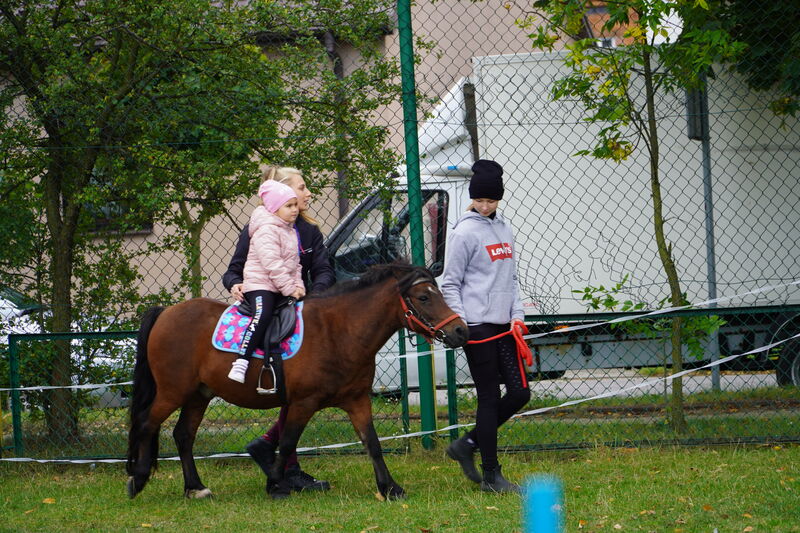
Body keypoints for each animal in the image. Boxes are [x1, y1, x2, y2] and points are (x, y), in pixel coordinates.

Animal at [125, 262, 468, 498]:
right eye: (423, 297)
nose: (460, 331)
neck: (338, 332)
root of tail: (166, 312)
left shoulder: (357, 401)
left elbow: (371, 442)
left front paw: (389, 487)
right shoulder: (304, 402)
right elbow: (289, 441)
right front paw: (275, 484)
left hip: (199, 394)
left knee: (183, 435)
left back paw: (195, 487)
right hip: (172, 392)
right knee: (146, 423)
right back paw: (138, 478)